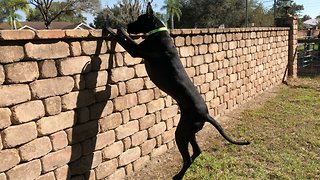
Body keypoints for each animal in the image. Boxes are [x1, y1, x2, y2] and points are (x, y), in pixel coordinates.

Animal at [105, 3, 250, 180]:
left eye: (139, 19)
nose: (127, 25)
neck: (158, 33)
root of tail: (206, 115)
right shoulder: (138, 46)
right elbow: (129, 38)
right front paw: (121, 30)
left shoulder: (136, 51)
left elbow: (123, 41)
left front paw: (111, 28)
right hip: (190, 132)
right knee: (196, 151)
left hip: (181, 133)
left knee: (187, 159)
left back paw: (178, 176)